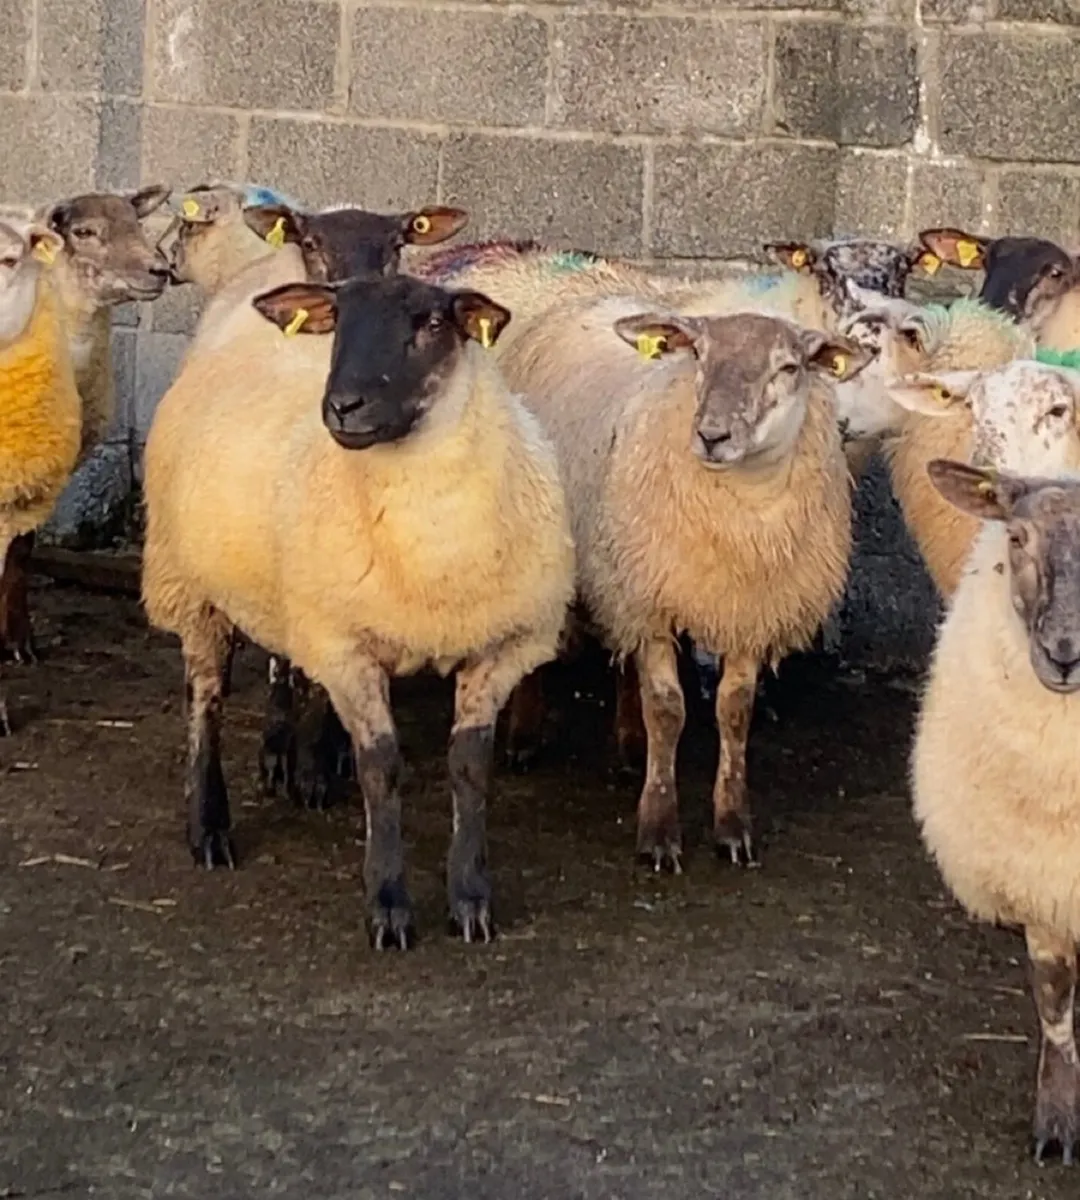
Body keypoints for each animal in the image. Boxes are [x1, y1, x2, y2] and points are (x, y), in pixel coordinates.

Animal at [140, 273, 574, 948]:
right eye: (339, 319)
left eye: (432, 324)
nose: (343, 406)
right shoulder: (348, 648)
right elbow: (382, 769)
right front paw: (389, 905)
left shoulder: (496, 647)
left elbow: (470, 769)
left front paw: (471, 899)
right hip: (191, 586)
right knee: (205, 704)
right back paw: (210, 827)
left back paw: (300, 770)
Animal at [494, 294, 871, 869]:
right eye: (699, 354)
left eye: (788, 368)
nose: (712, 436)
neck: (745, 509)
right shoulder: (654, 605)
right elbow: (667, 709)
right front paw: (659, 829)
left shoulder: (743, 608)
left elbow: (735, 711)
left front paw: (733, 825)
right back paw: (523, 735)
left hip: (623, 569)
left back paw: (630, 744)